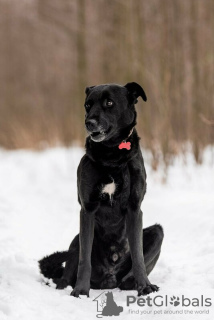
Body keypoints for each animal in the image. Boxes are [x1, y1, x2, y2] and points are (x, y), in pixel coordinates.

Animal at [39, 82, 164, 298]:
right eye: (87, 105)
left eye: (109, 103)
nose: (88, 122)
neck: (111, 155)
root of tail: (109, 278)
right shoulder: (87, 209)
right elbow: (84, 260)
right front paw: (81, 290)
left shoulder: (134, 208)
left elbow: (138, 255)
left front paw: (144, 286)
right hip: (75, 241)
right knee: (66, 275)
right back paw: (66, 285)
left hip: (158, 232)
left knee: (128, 274)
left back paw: (131, 281)